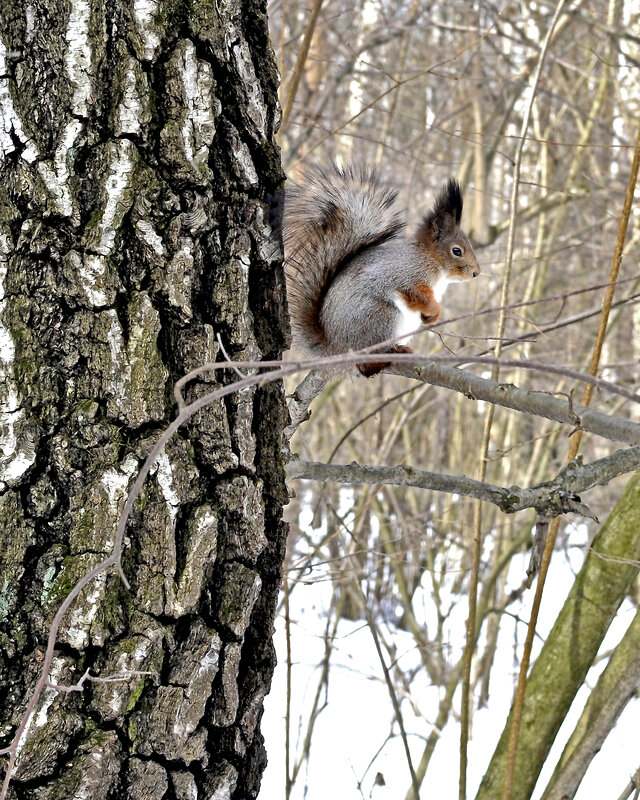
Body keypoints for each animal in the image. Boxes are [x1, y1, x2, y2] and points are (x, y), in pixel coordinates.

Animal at [282, 164, 478, 376]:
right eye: (457, 251)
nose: (476, 273)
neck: (429, 259)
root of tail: (337, 348)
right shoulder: (406, 274)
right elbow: (417, 294)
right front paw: (434, 310)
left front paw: (431, 317)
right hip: (381, 317)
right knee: (368, 363)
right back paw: (389, 355)